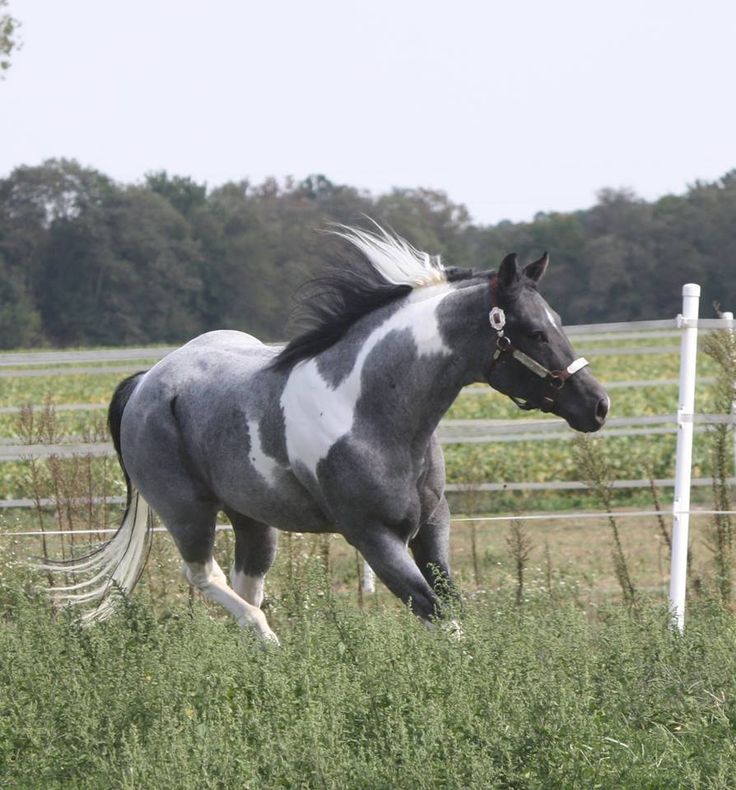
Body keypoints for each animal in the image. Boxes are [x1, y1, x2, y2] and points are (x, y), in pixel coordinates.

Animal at [47, 224, 608, 644]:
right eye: (534, 332)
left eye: (557, 321)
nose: (597, 405)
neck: (371, 413)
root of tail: (147, 383)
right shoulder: (374, 537)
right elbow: (437, 616)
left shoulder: (433, 526)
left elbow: (453, 605)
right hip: (187, 511)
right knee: (206, 578)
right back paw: (270, 641)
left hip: (253, 519)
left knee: (245, 584)